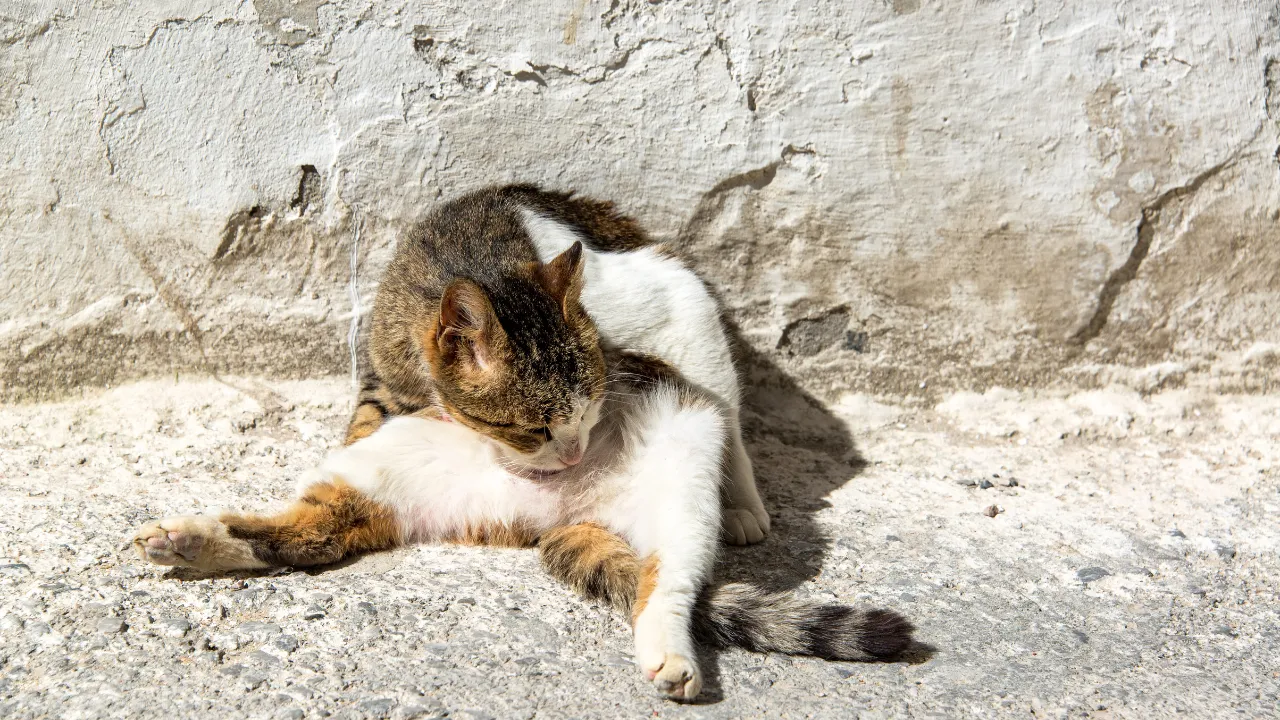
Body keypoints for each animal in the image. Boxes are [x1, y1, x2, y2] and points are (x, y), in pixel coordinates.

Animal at [129, 184, 911, 696]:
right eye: (533, 428)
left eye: (589, 415)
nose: (571, 455)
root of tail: (564, 515)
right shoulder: (385, 381)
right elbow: (365, 414)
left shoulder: (661, 310)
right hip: (388, 476)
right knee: (309, 533)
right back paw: (188, 542)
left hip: (687, 458)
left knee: (675, 567)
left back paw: (702, 590)